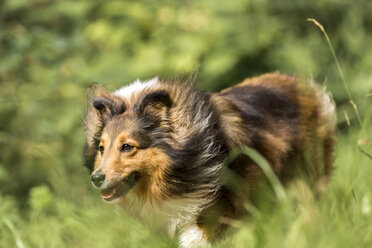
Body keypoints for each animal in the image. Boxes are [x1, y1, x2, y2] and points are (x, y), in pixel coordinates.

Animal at [83, 72, 338, 247]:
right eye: (101, 148)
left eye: (127, 147)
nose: (96, 178)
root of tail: (301, 84)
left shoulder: (224, 208)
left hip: (306, 179)